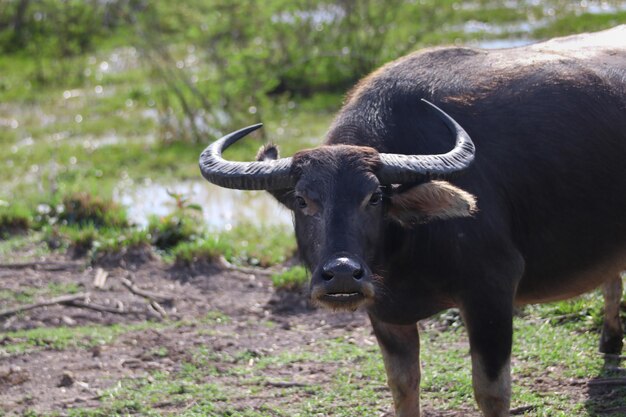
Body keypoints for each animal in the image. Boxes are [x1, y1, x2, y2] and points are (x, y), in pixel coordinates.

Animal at [199, 26, 624, 416]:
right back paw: (610, 341)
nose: (341, 274)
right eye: (303, 201)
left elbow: (491, 392)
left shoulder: (492, 292)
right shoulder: (385, 315)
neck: (404, 256)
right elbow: (403, 386)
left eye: (374, 197)